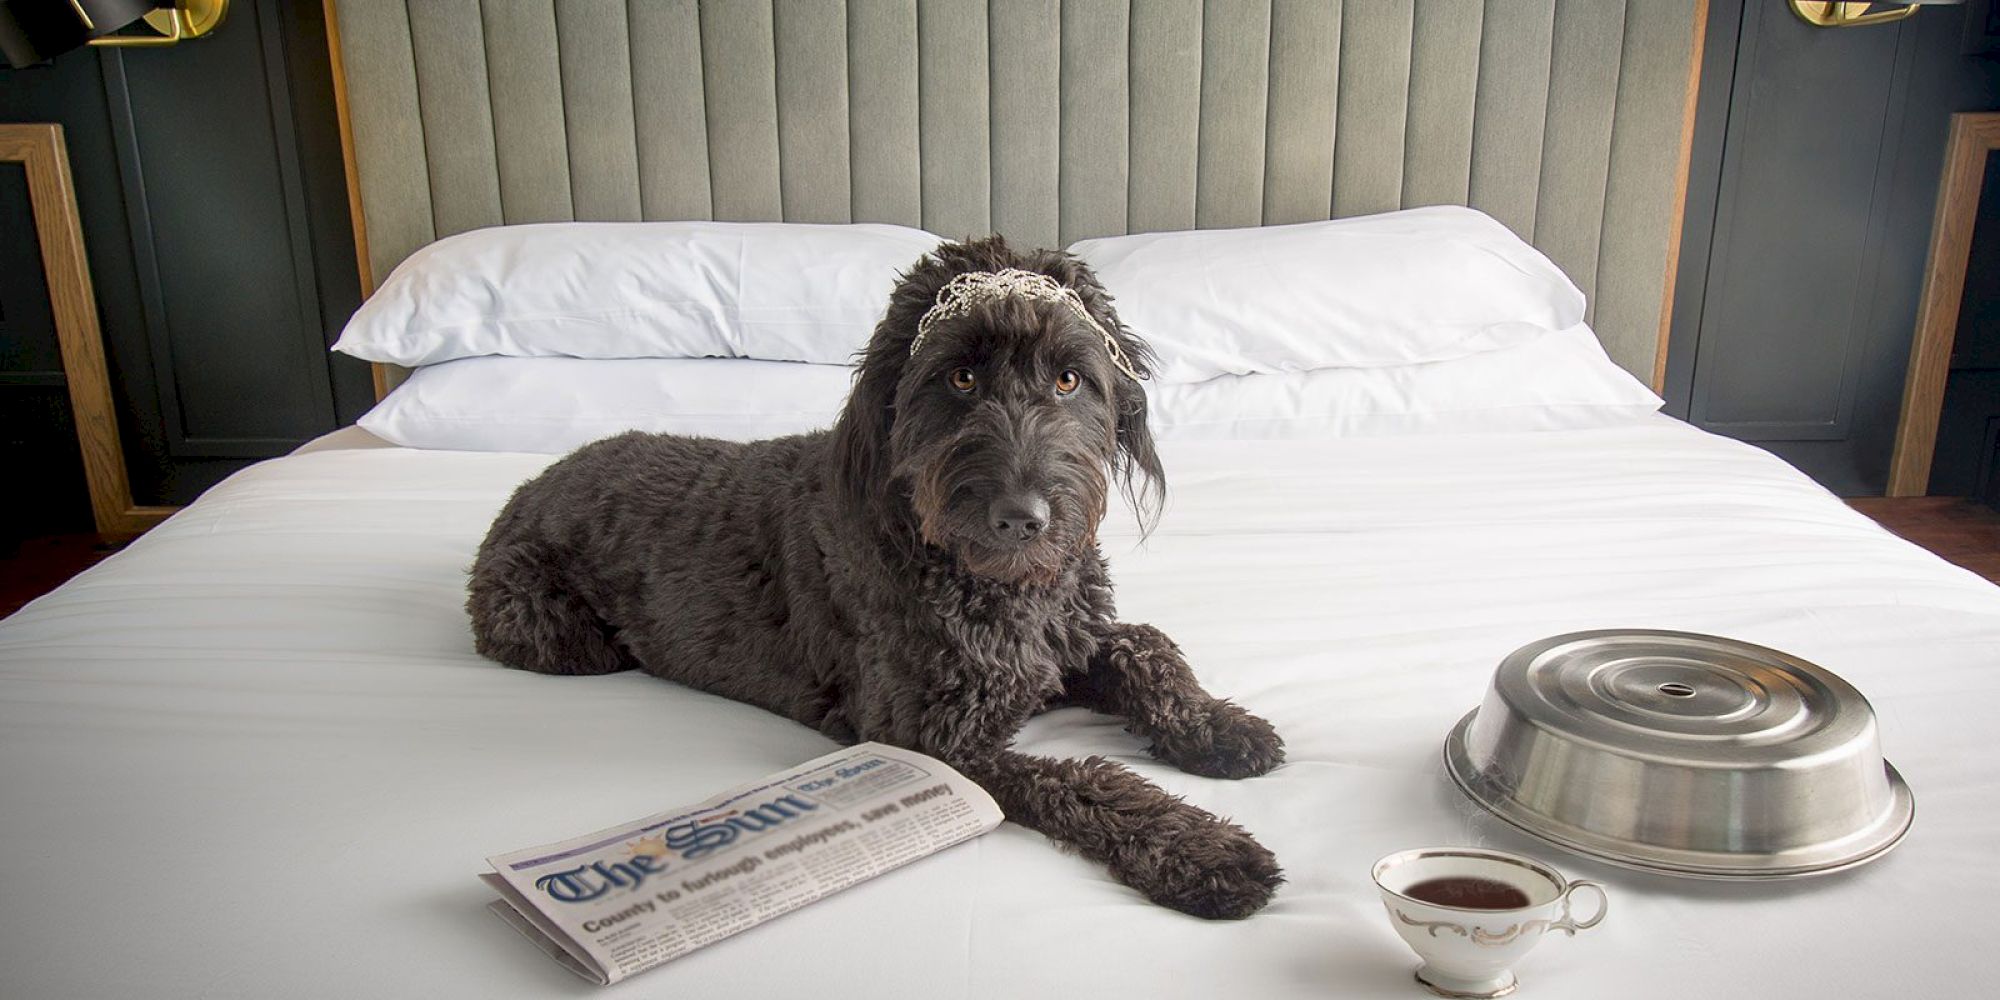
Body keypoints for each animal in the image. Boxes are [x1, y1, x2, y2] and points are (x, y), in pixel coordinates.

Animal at [466, 238, 1280, 916]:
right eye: (959, 377)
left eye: (1070, 378)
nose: (1022, 517)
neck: (992, 581)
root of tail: (536, 480)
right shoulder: (932, 741)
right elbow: (1084, 778)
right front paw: (1202, 848)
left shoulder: (1066, 639)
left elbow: (1149, 646)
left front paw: (1217, 726)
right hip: (548, 628)